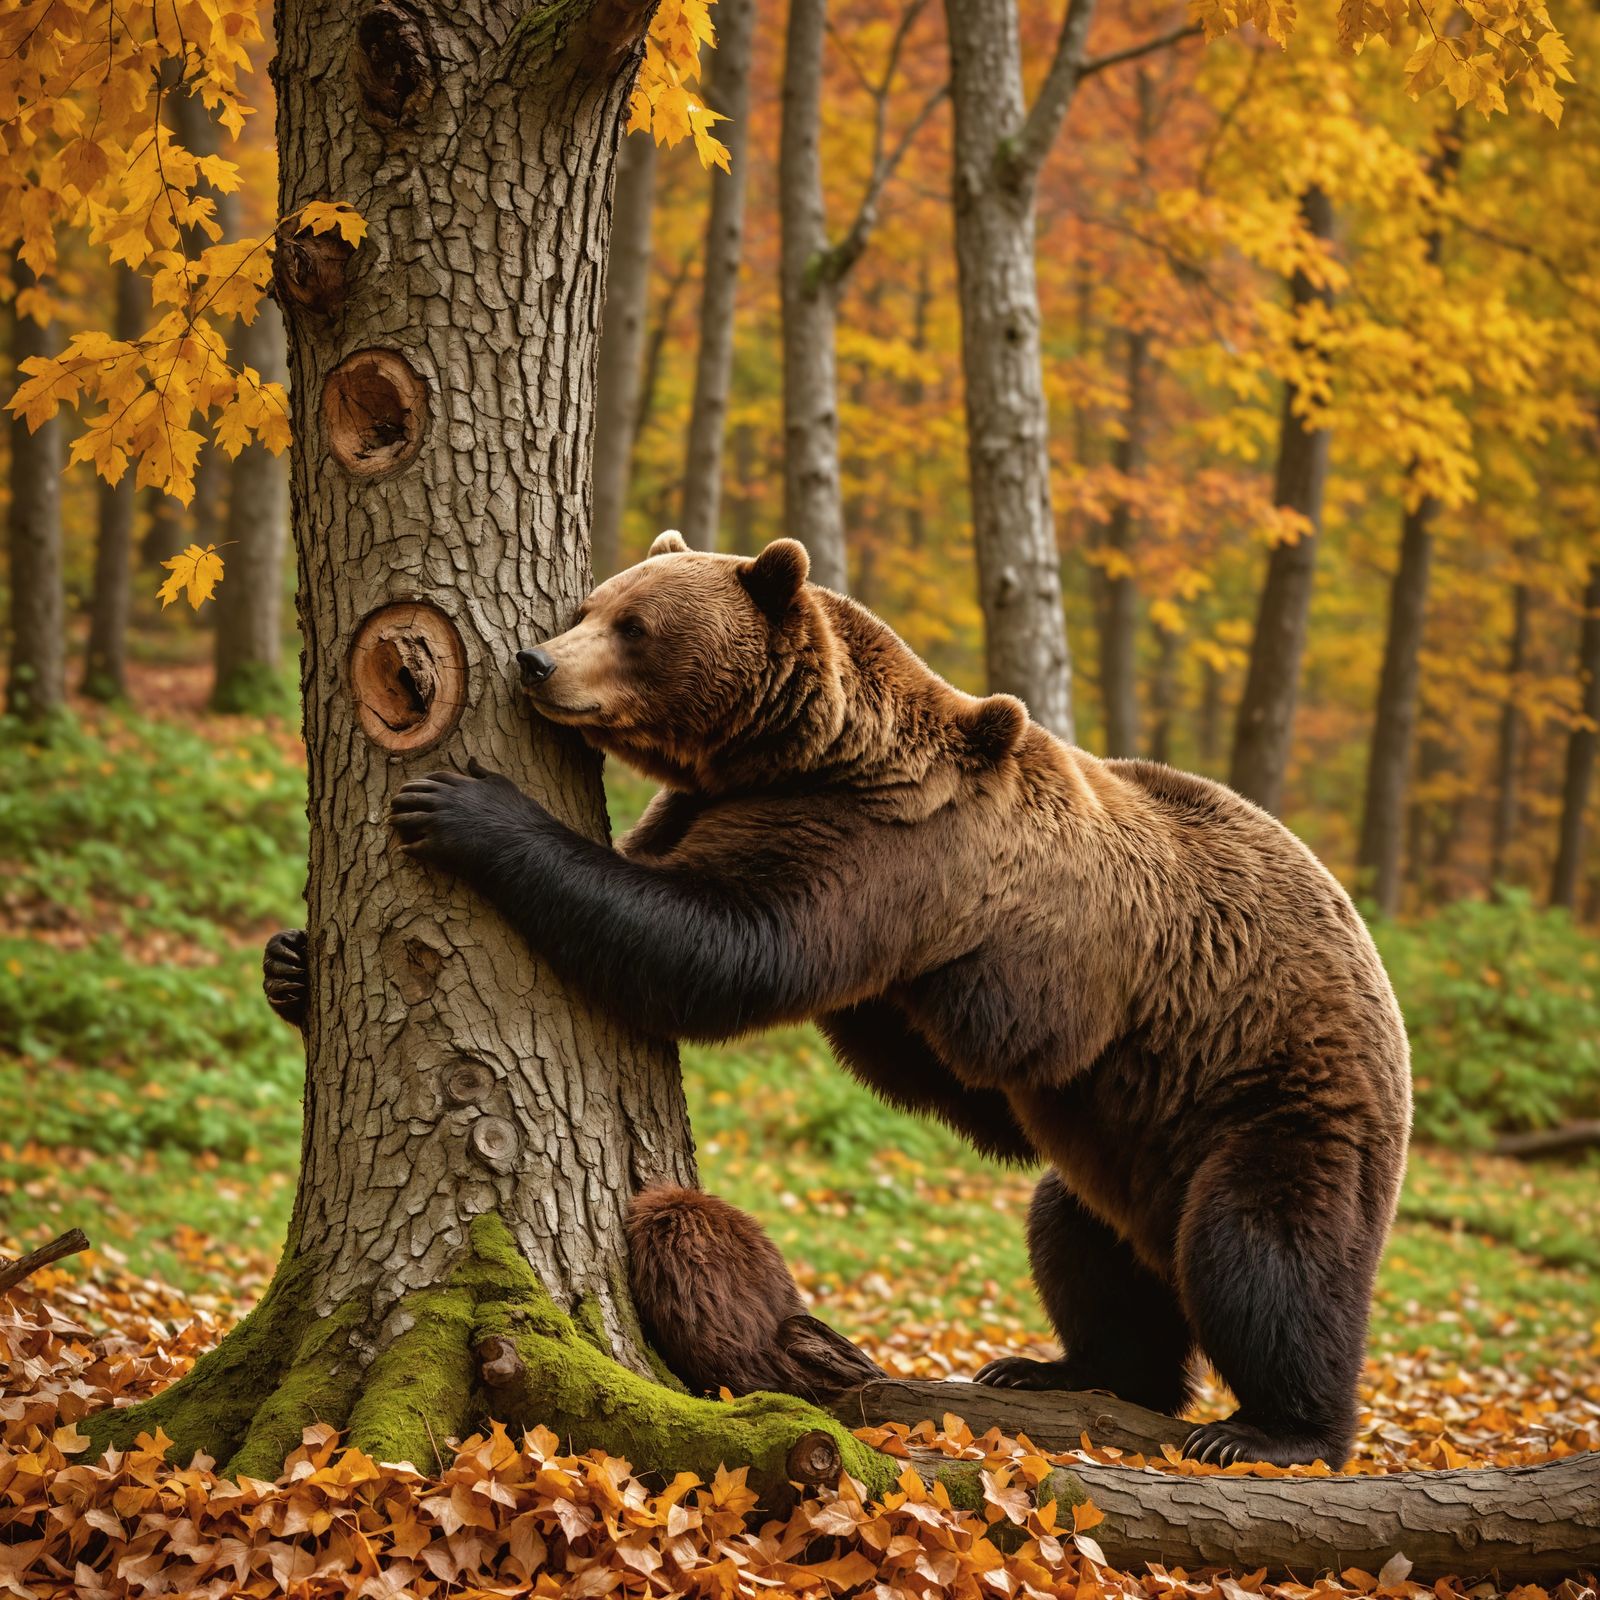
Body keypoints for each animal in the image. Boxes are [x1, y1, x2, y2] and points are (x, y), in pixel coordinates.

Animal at [267, 529, 1411, 1468]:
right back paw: (1064, 1369)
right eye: (591, 600)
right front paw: (293, 964)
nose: (537, 660)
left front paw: (466, 806)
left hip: (1268, 1084)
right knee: (1079, 1243)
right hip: (1121, 1135)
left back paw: (1272, 1429)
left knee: (1264, 1251)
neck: (798, 754)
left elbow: (702, 942)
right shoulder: (747, 822)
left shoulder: (881, 852)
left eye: (633, 625)